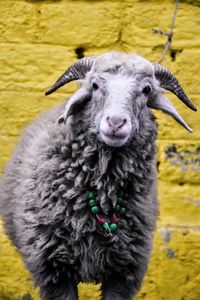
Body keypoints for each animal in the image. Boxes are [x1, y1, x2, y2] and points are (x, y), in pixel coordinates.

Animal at [0, 52, 197, 300]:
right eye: (94, 86)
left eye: (146, 90)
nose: (115, 122)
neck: (103, 192)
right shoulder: (54, 271)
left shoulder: (124, 273)